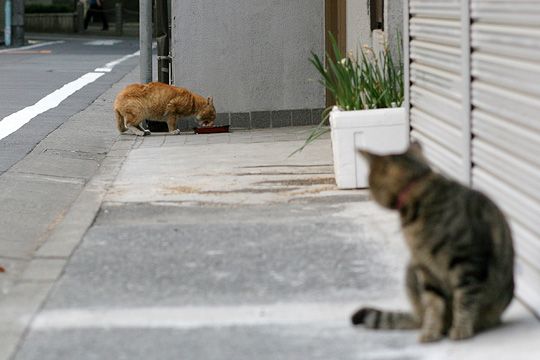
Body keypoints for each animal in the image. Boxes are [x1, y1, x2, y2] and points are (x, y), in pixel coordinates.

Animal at [354, 142, 516, 342]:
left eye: (369, 181)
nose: (369, 192)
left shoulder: (469, 262)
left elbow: (464, 300)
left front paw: (460, 329)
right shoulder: (426, 269)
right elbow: (434, 304)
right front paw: (431, 332)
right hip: (412, 270)